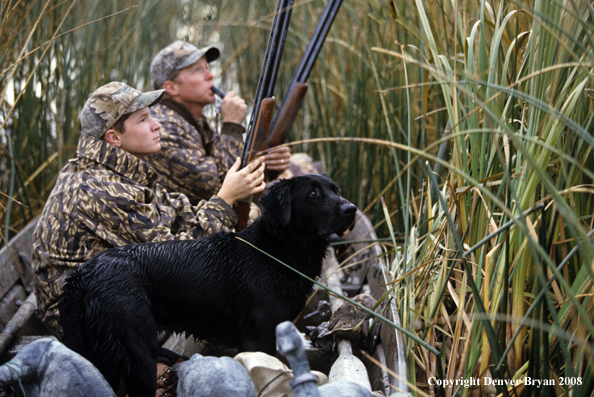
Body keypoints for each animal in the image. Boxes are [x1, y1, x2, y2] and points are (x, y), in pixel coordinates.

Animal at [59, 174, 356, 396]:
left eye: (335, 190)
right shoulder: (259, 339)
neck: (275, 251)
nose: (351, 209)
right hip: (139, 354)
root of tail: (82, 276)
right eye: (313, 193)